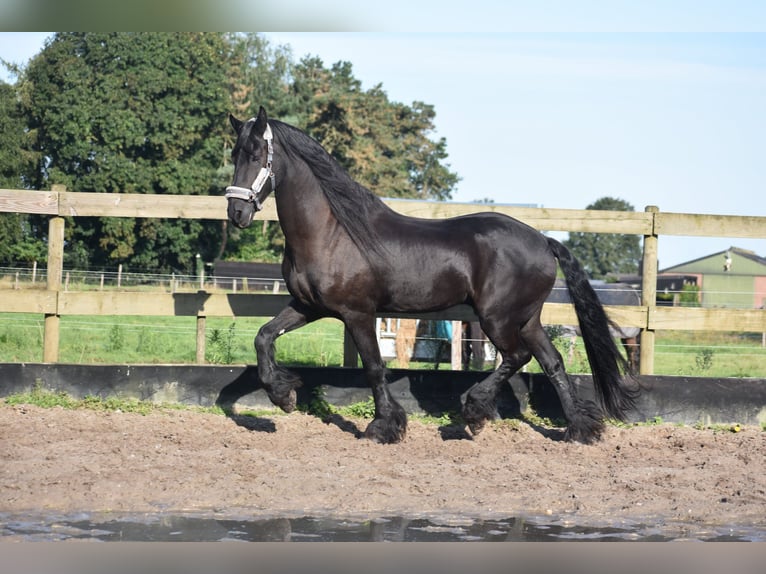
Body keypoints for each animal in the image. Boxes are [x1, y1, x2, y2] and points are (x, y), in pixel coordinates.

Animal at [225, 108, 640, 446]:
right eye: (234, 155)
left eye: (257, 155)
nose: (236, 213)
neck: (331, 232)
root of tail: (543, 240)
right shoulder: (308, 306)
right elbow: (264, 336)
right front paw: (283, 395)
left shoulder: (357, 313)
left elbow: (374, 366)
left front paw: (384, 427)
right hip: (528, 318)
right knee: (552, 362)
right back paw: (579, 429)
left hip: (497, 317)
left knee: (517, 356)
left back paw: (474, 411)